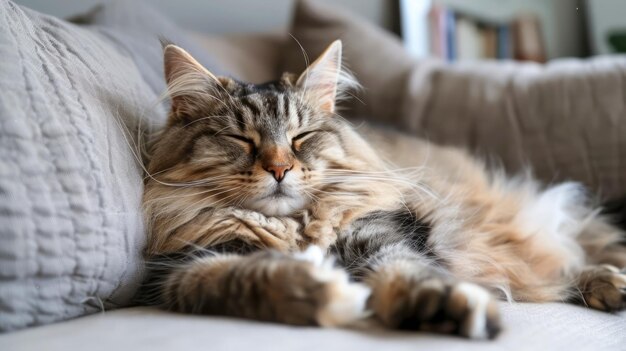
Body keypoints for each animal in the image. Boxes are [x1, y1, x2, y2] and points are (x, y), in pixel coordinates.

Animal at [136, 40, 624, 340]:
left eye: (301, 138)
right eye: (242, 141)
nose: (278, 169)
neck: (294, 227)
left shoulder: (383, 234)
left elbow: (406, 270)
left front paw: (442, 305)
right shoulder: (183, 271)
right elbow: (247, 280)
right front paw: (323, 289)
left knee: (578, 256)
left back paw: (610, 284)